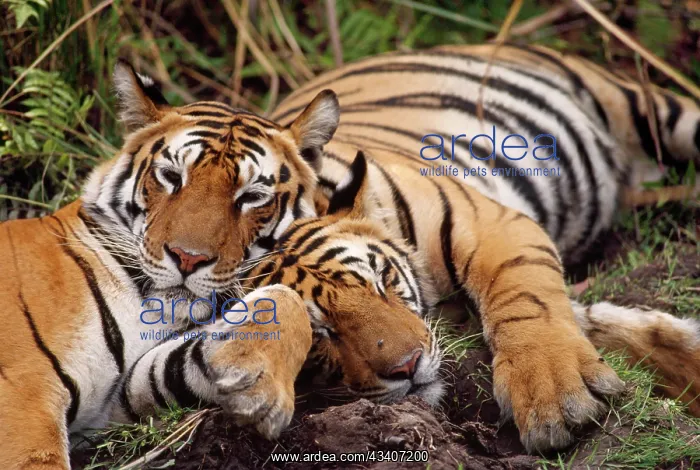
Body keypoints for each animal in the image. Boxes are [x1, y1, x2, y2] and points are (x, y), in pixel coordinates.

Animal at [1, 42, 699, 466]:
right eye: (325, 335)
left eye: (252, 194)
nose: (409, 367)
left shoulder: (495, 222)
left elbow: (527, 298)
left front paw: (555, 396)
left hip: (650, 106)